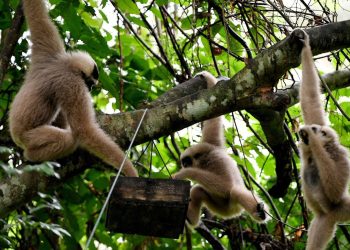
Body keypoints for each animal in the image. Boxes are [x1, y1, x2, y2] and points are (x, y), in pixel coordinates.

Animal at [8, 0, 138, 177]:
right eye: (90, 83)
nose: (91, 89)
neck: (66, 65)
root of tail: (14, 133)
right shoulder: (72, 84)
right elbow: (84, 130)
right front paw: (129, 170)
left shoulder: (49, 51)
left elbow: (37, 15)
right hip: (29, 137)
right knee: (70, 139)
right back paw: (31, 155)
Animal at [172, 72, 268, 227]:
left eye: (186, 163)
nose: (184, 165)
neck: (206, 155)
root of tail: (232, 213)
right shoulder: (212, 143)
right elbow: (214, 119)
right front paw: (208, 78)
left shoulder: (214, 158)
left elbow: (225, 187)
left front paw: (184, 173)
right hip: (219, 207)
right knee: (198, 191)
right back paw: (191, 219)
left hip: (230, 206)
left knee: (235, 191)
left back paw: (260, 212)